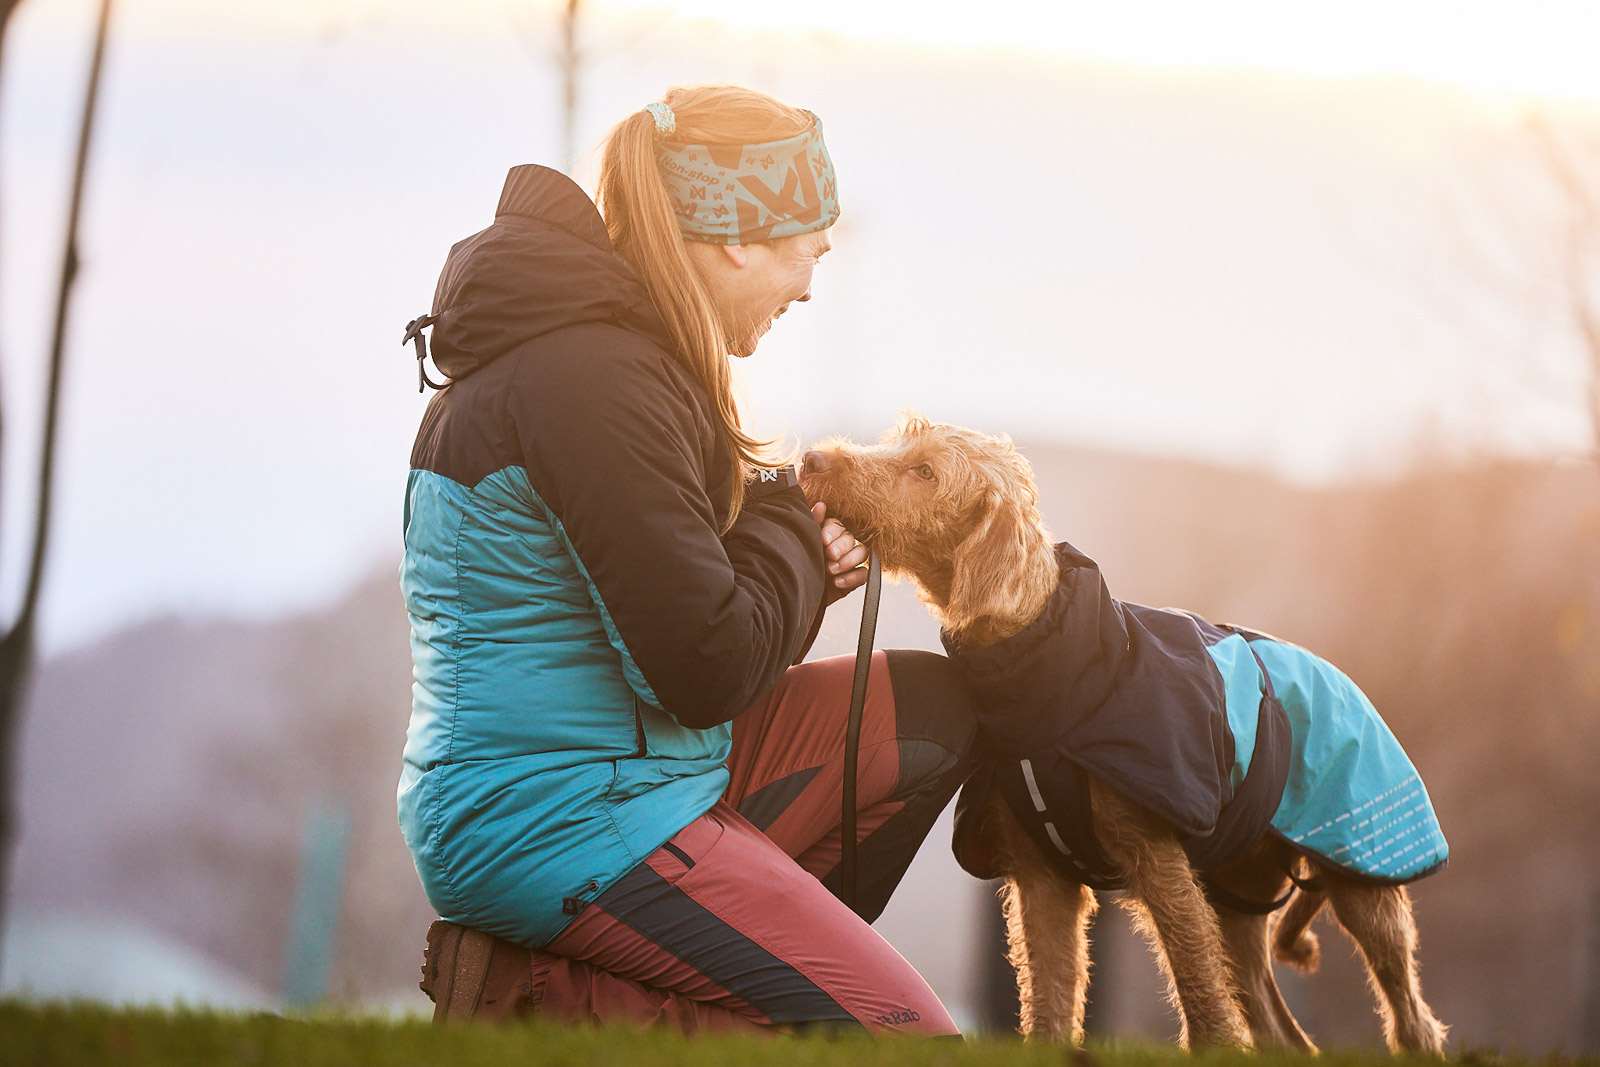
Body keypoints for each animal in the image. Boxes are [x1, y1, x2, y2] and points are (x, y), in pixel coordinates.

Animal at [798, 414, 1449, 1054]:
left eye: (927, 471)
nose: (812, 458)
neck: (1051, 663)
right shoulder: (1042, 876)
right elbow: (1051, 999)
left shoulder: (1157, 858)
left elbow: (1198, 989)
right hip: (1235, 900)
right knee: (1284, 1036)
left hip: (1367, 875)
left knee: (1411, 1018)